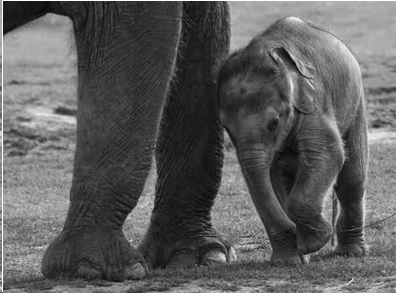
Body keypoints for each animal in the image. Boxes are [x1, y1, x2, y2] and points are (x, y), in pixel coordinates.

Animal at [217, 17, 368, 264]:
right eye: (226, 128)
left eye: (274, 123)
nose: (292, 230)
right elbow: (269, 178)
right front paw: (289, 260)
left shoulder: (314, 101)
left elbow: (328, 153)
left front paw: (313, 243)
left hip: (356, 103)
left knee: (351, 179)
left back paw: (351, 252)